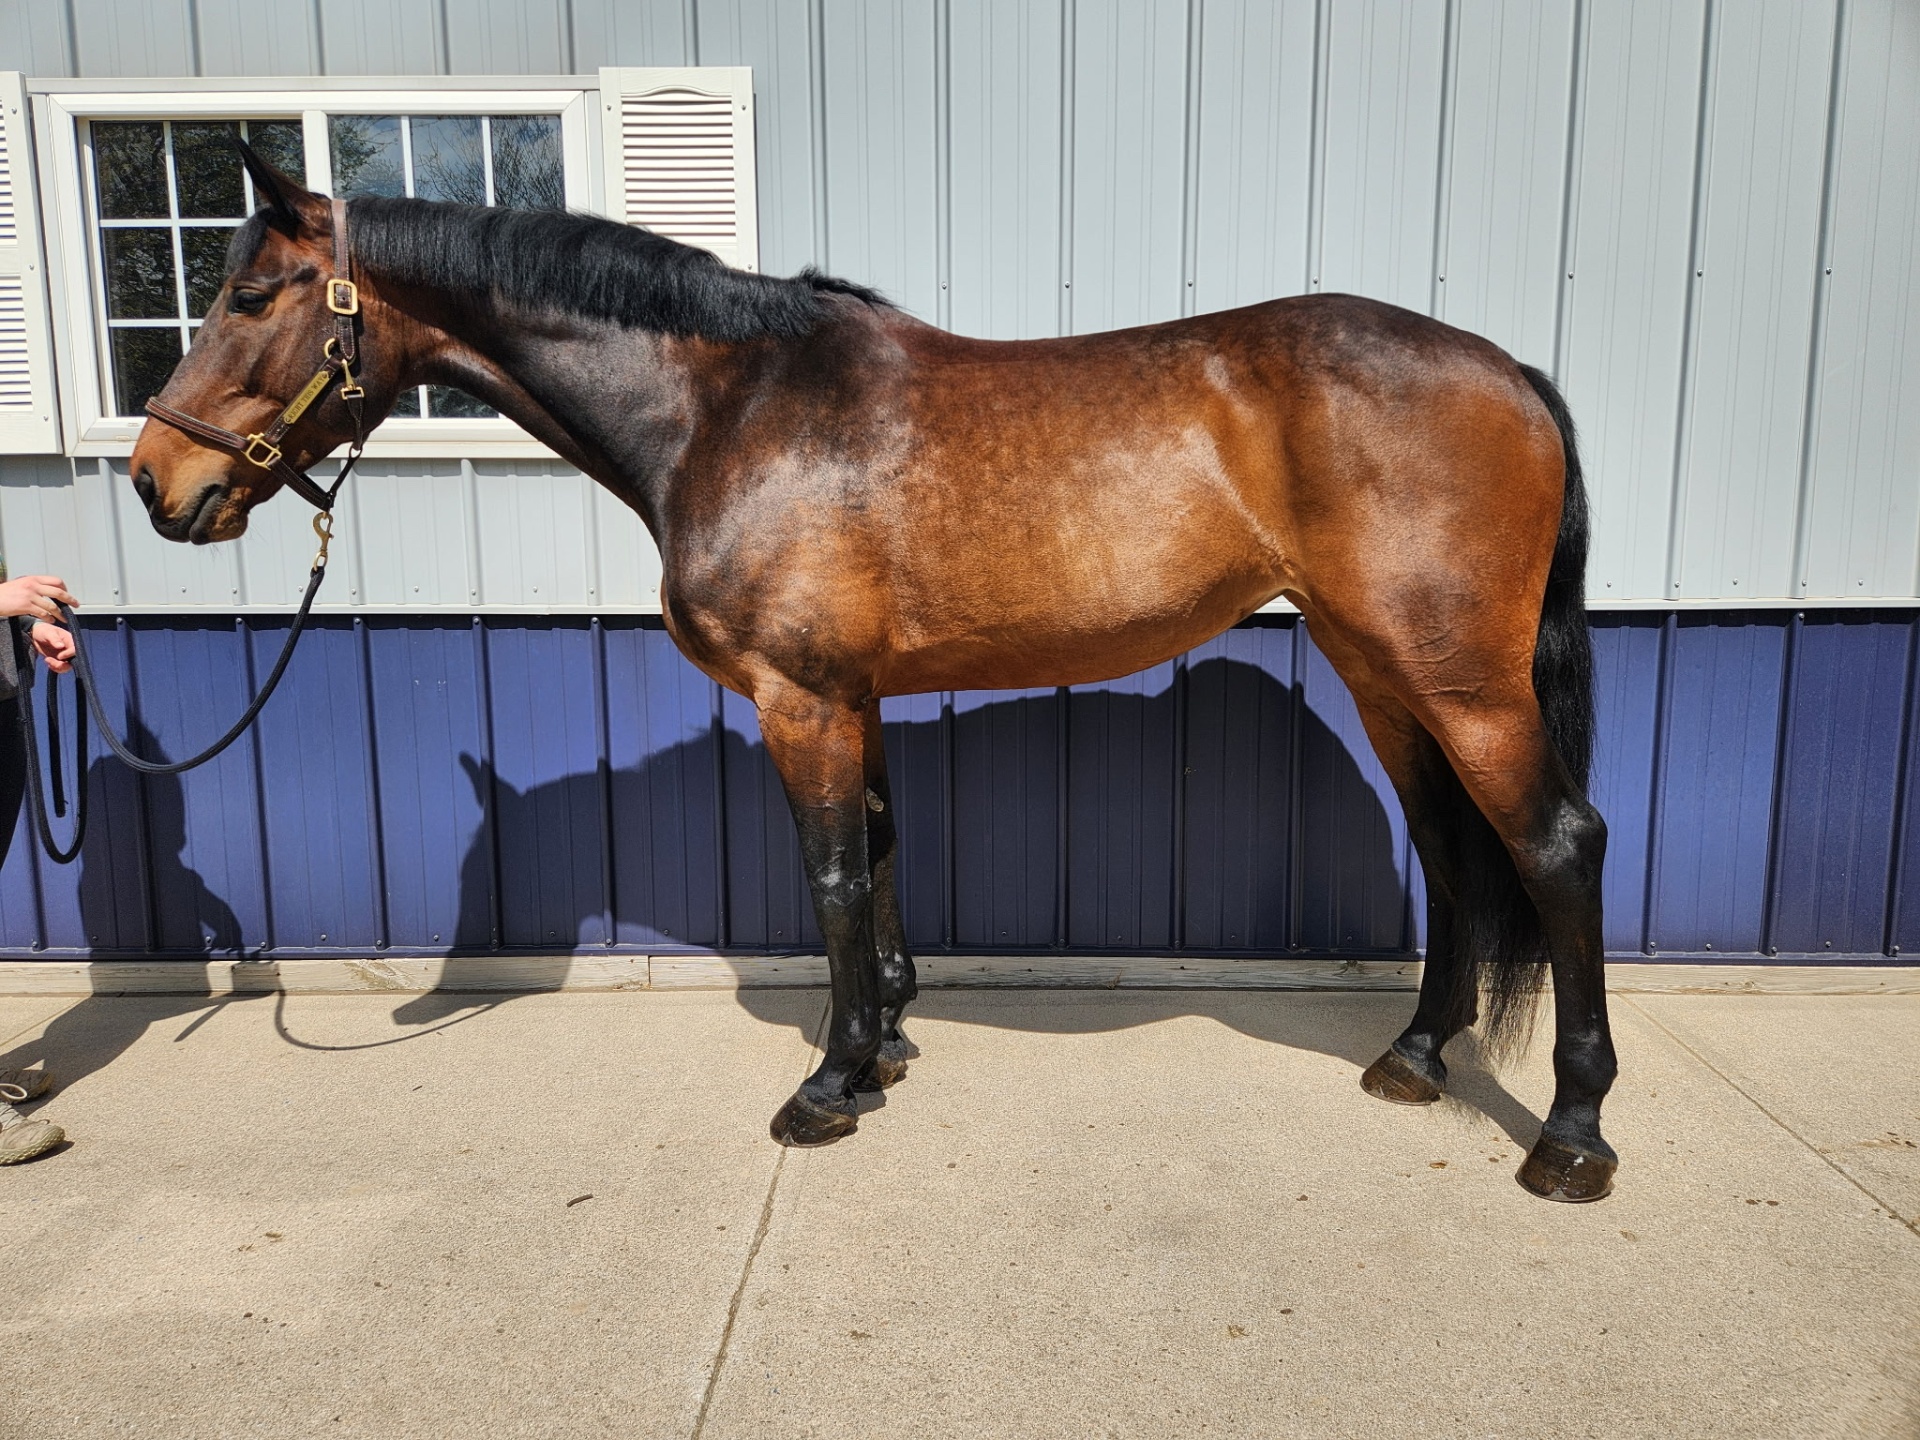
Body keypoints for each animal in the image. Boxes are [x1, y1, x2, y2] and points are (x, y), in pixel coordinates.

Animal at [129, 145, 1617, 1203]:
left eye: (248, 297)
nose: (157, 482)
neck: (729, 409)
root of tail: (1508, 369)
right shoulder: (856, 697)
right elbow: (885, 858)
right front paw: (888, 1042)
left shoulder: (799, 699)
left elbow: (834, 876)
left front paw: (829, 1087)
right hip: (1383, 671)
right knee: (1453, 847)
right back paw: (1414, 1059)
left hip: (1462, 680)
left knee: (1554, 844)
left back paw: (1572, 1135)